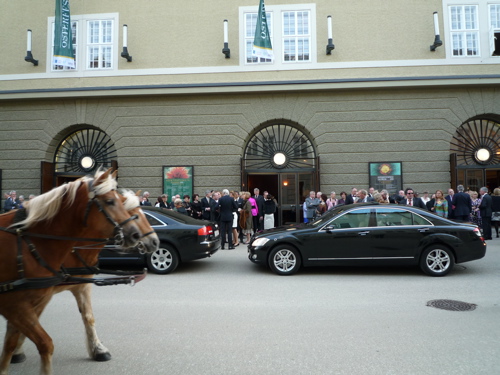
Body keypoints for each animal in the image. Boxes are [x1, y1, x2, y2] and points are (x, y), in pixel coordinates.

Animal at [0, 169, 141, 374]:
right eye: (109, 201)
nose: (136, 234)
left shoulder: (37, 300)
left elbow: (10, 346)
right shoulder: (15, 306)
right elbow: (44, 343)